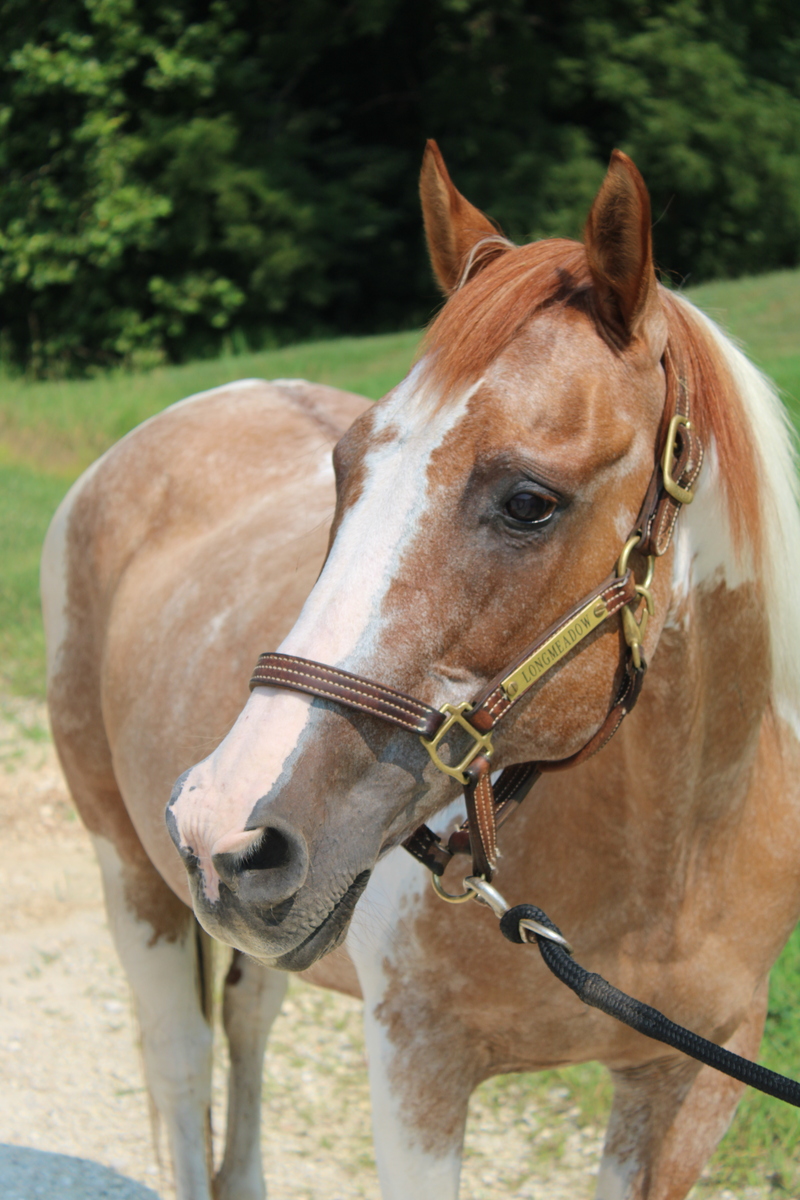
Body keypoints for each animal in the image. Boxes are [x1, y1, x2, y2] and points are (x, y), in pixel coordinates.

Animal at [43, 141, 800, 1200]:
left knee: (245, 1024)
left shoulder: (688, 1087)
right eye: (343, 465)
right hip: (132, 873)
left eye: (529, 501)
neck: (674, 862)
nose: (224, 821)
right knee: (182, 1064)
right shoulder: (419, 1074)